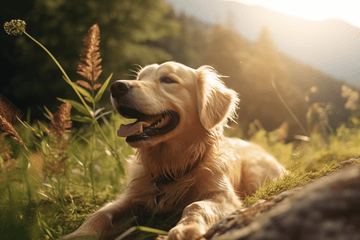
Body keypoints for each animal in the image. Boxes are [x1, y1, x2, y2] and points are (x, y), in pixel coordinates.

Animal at [62, 61, 286, 239]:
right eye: (140, 78)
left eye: (168, 80)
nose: (117, 87)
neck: (171, 165)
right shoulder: (131, 196)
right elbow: (101, 214)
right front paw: (77, 235)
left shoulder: (225, 197)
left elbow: (196, 205)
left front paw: (185, 228)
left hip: (256, 173)